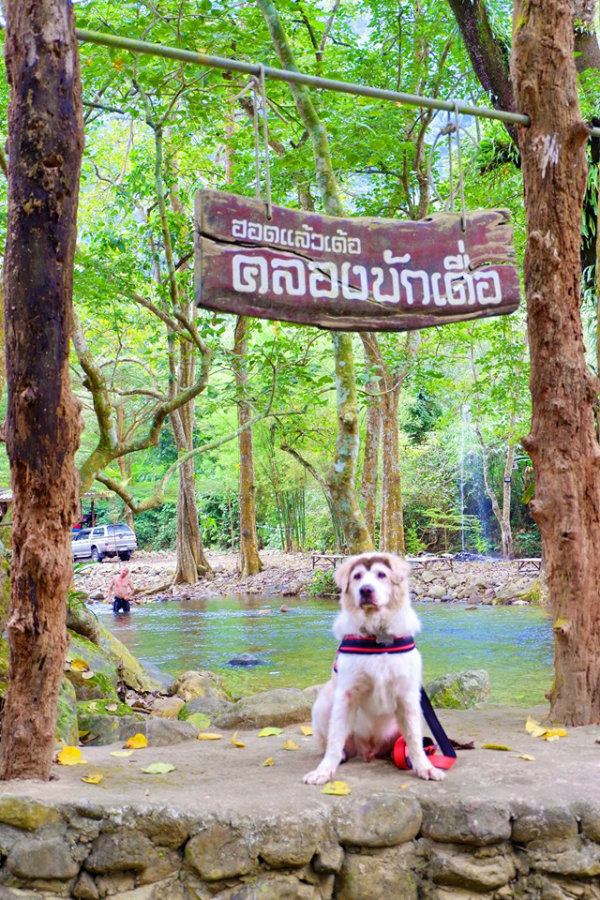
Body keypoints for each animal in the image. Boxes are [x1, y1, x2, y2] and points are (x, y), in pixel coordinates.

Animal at [302, 552, 442, 784]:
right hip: (322, 704)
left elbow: (414, 739)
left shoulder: (408, 695)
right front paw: (324, 771)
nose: (366, 590)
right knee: (333, 741)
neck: (377, 634)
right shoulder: (346, 693)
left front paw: (425, 767)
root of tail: (368, 749)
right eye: (357, 576)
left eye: (381, 574)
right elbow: (335, 738)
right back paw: (341, 755)